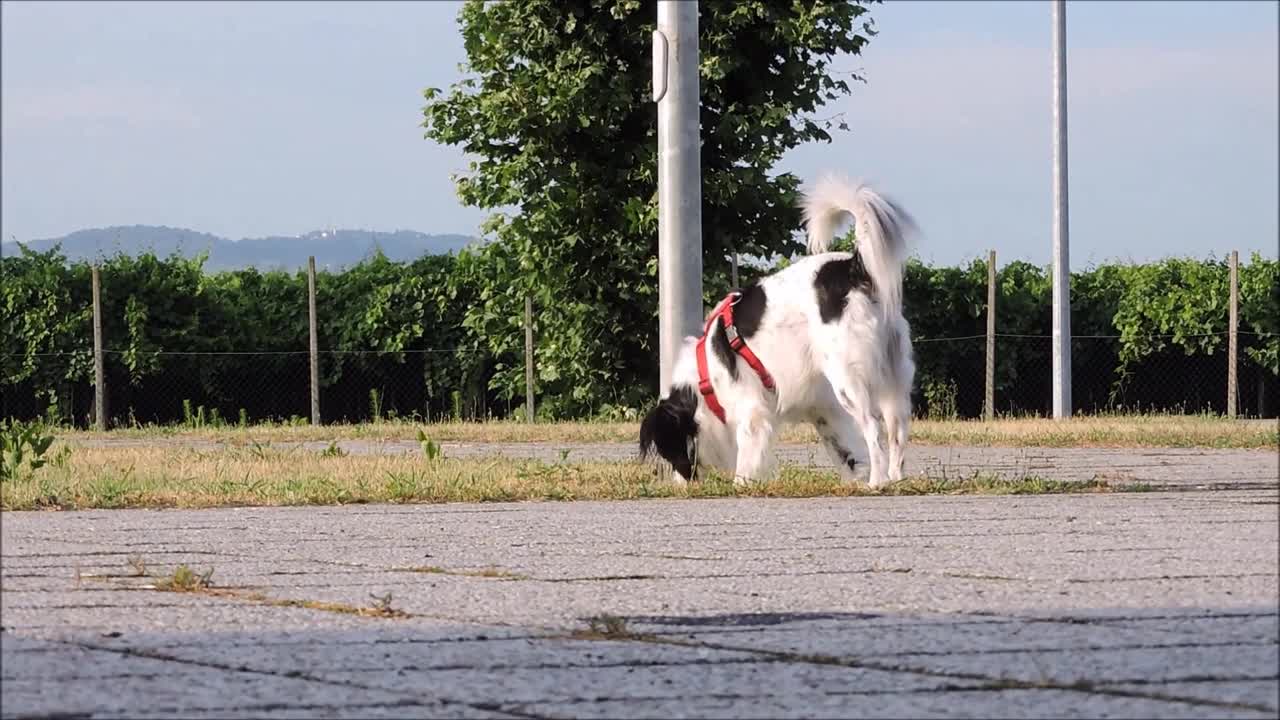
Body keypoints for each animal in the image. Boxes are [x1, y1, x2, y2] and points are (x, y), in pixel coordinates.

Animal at [640, 174, 921, 486]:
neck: (705, 375)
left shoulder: (752, 413)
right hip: (893, 378)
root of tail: (852, 267)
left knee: (873, 428)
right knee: (896, 431)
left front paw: (740, 486)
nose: (682, 485)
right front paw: (853, 477)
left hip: (847, 378)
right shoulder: (822, 410)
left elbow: (745, 460)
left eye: (669, 448)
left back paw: (877, 482)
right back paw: (895, 479)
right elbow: (843, 452)